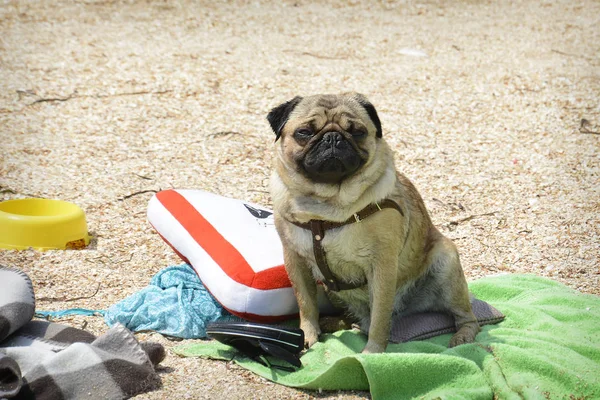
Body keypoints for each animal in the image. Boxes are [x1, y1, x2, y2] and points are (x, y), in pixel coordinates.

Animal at [268, 91, 478, 354]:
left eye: (357, 132)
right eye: (304, 132)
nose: (333, 137)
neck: (327, 206)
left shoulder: (382, 267)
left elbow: (380, 316)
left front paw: (372, 353)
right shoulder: (295, 261)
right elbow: (306, 304)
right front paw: (308, 333)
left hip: (447, 266)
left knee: (466, 317)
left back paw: (463, 337)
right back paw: (333, 322)